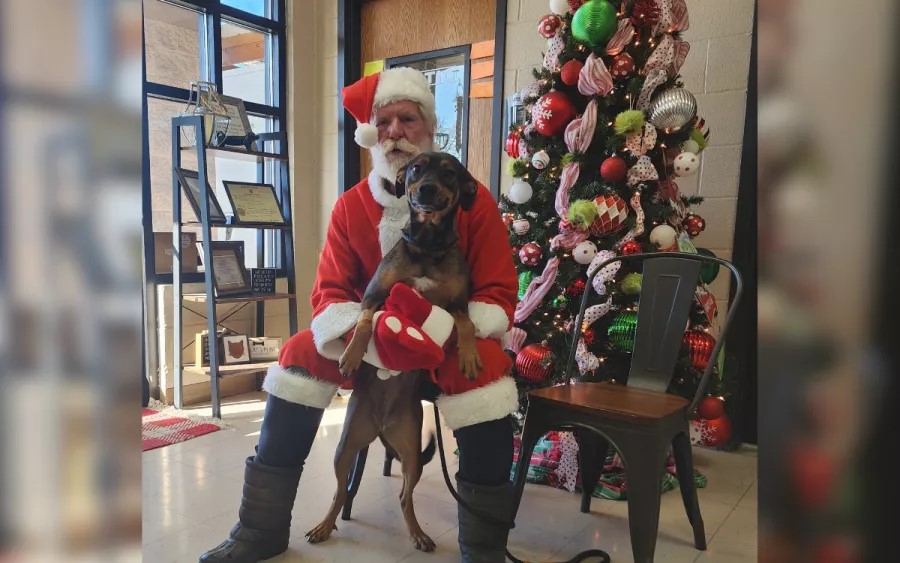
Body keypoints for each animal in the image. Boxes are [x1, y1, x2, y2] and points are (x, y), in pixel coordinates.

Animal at [304, 153, 486, 552]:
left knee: (405, 496)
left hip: (411, 454)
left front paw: (467, 356)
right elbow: (366, 322)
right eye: (417, 168)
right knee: (340, 493)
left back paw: (418, 534)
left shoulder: (458, 303)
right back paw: (323, 526)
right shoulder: (375, 294)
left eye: (449, 173)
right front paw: (352, 355)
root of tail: (380, 427)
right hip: (345, 448)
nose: (426, 189)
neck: (428, 245)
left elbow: (465, 325)